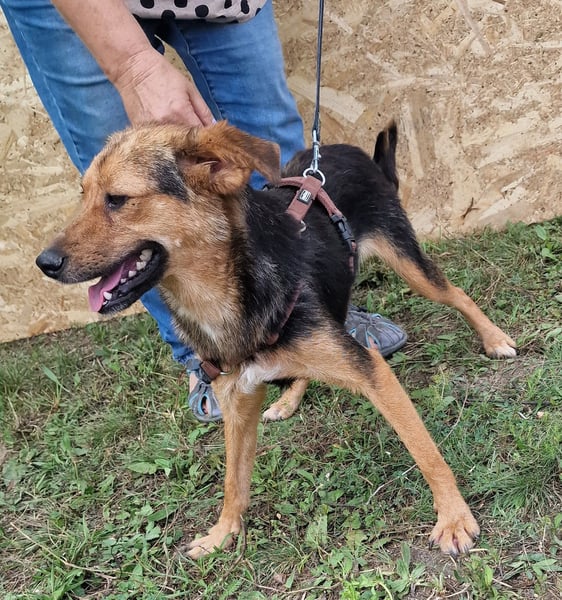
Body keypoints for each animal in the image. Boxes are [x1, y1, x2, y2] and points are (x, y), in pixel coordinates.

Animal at [36, 120, 516, 559]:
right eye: (83, 195)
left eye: (117, 199)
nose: (45, 263)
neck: (227, 292)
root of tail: (348, 150)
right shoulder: (235, 397)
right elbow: (234, 480)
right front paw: (222, 533)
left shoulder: (371, 370)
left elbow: (425, 451)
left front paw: (453, 517)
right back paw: (287, 399)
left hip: (406, 261)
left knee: (456, 294)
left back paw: (495, 339)